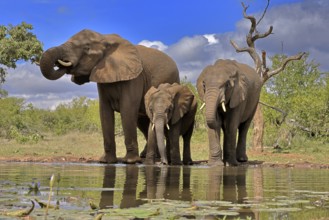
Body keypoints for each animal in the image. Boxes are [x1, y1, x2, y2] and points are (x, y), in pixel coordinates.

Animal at [39, 29, 179, 163]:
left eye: (87, 48)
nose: (61, 63)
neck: (105, 38)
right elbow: (104, 112)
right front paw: (106, 161)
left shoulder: (135, 77)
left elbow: (127, 109)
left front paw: (130, 161)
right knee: (142, 122)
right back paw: (147, 157)